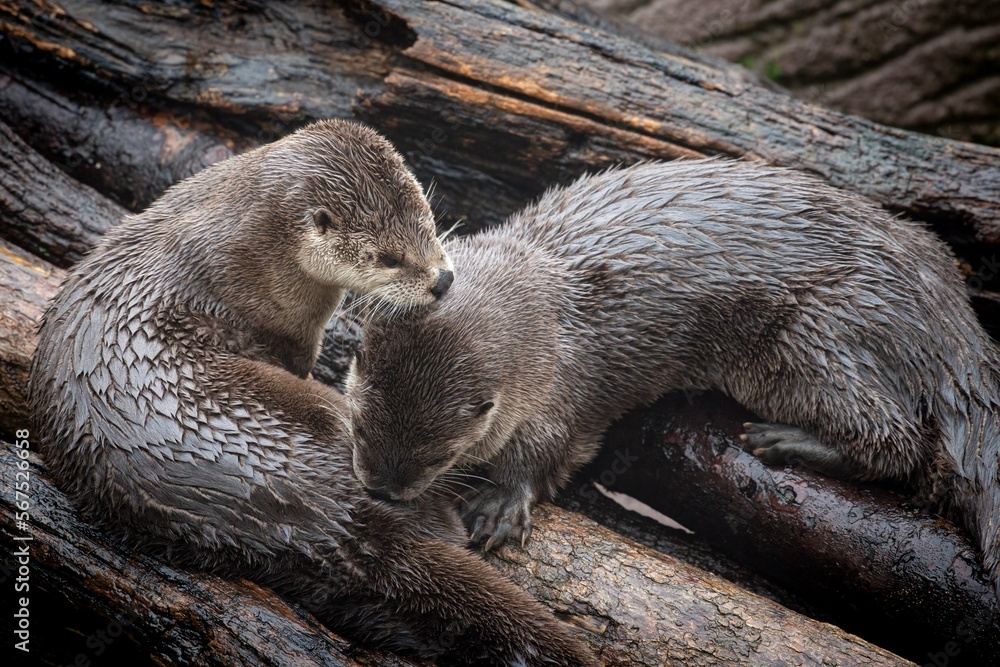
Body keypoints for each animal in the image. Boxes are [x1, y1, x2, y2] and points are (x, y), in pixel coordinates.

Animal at [28, 120, 597, 666]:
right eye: (387, 257)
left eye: (431, 223)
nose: (442, 280)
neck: (245, 259)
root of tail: (315, 515)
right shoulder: (288, 333)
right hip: (323, 418)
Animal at [348, 159, 1000, 592]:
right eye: (357, 428)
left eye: (440, 457)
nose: (381, 487)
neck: (549, 304)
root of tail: (948, 312)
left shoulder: (565, 386)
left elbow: (553, 449)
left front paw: (502, 503)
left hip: (814, 335)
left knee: (899, 442)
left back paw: (783, 441)